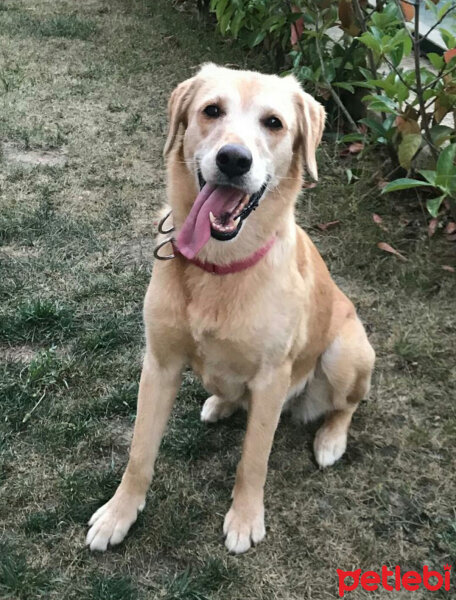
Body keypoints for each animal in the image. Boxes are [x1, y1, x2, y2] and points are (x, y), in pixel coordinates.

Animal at [85, 63, 374, 556]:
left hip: (345, 353)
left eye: (274, 123)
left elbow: (253, 461)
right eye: (211, 110)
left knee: (347, 404)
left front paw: (245, 519)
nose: (234, 160)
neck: (219, 266)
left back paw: (331, 439)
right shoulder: (159, 363)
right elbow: (140, 452)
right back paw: (220, 403)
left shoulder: (273, 377)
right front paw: (119, 514)